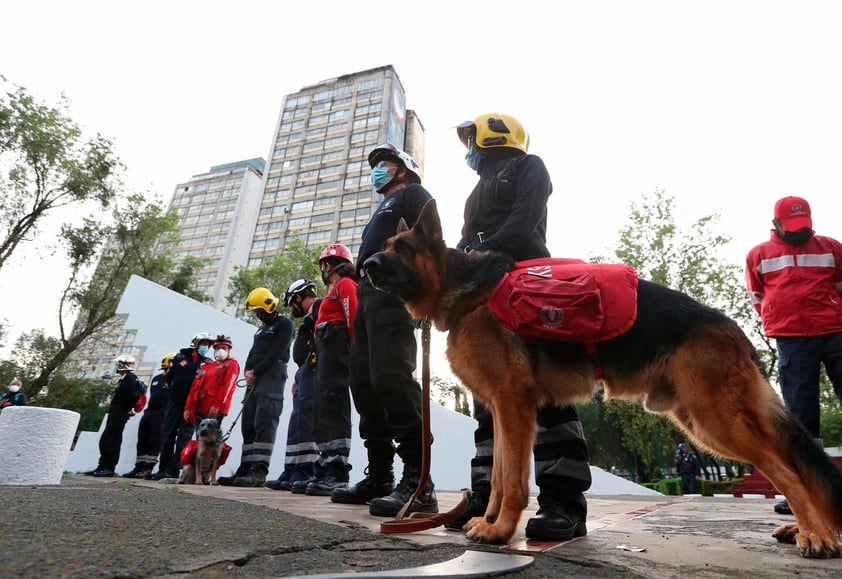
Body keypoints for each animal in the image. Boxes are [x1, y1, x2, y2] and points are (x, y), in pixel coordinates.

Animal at [364, 199, 840, 556]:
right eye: (388, 244)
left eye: (403, 246)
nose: (366, 264)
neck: (465, 289)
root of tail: (732, 327)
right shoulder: (500, 410)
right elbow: (498, 474)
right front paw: (488, 521)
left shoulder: (513, 404)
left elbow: (513, 479)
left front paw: (500, 531)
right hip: (702, 422)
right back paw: (806, 529)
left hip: (716, 420)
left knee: (788, 472)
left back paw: (815, 534)